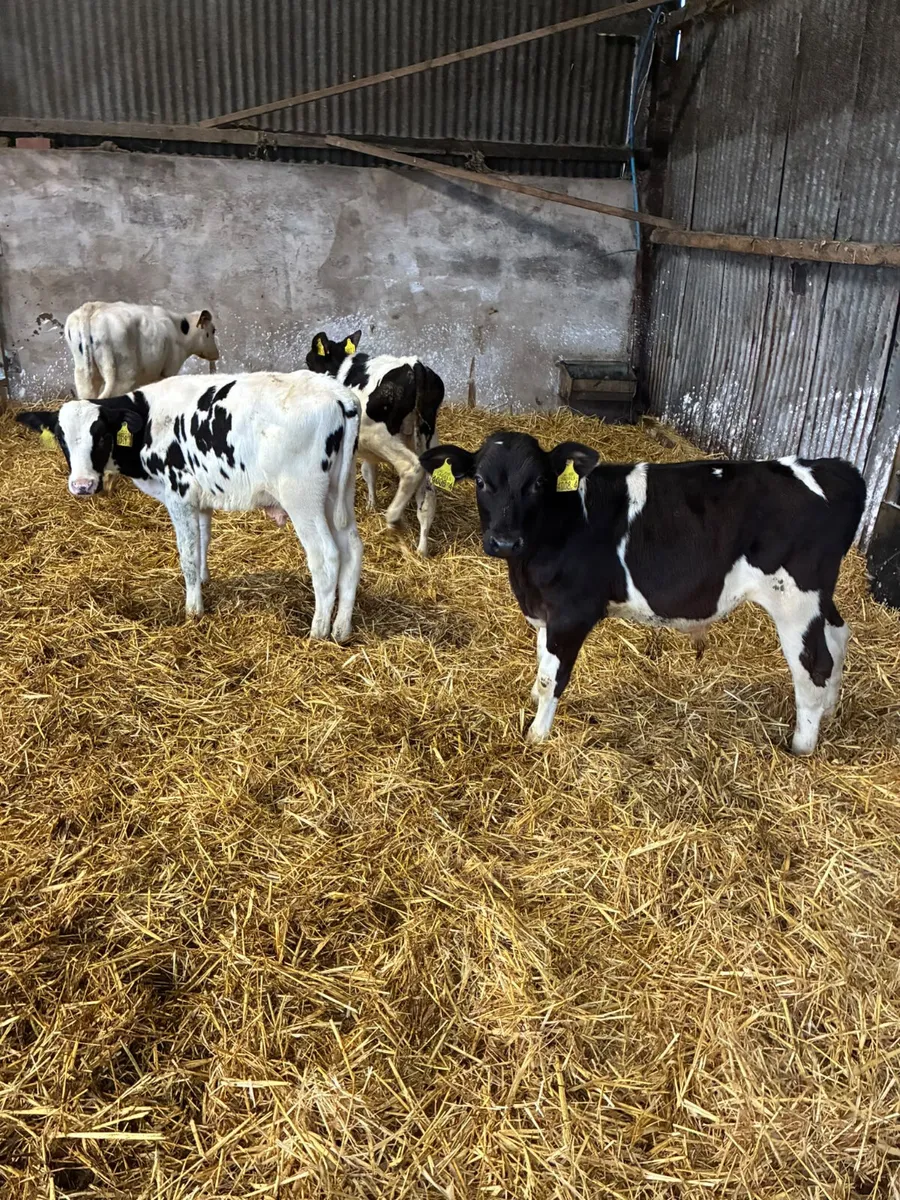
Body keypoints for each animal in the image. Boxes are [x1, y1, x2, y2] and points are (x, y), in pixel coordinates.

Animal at [16, 372, 363, 642]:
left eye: (101, 436)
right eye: (61, 439)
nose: (82, 485)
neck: (150, 420)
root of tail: (339, 394)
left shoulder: (179, 495)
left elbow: (188, 555)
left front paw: (193, 609)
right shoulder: (202, 497)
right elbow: (202, 541)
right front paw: (205, 582)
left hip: (302, 497)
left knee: (326, 556)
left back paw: (318, 631)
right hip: (338, 494)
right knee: (352, 551)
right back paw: (341, 629)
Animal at [65, 301, 220, 399]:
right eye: (213, 330)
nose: (217, 354)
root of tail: (91, 308)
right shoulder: (168, 370)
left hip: (83, 372)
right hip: (122, 375)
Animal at [305, 330, 444, 556]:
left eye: (309, 361)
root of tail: (413, 364)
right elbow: (370, 472)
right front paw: (372, 505)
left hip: (375, 435)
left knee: (410, 467)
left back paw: (393, 518)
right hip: (427, 438)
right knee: (427, 496)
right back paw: (421, 549)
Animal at [420, 432, 866, 754]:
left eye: (539, 483)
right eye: (481, 481)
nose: (504, 541)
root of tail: (833, 468)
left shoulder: (571, 613)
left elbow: (553, 677)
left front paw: (537, 735)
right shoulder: (545, 613)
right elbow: (542, 661)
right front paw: (532, 701)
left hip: (795, 598)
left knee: (815, 663)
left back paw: (802, 745)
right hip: (818, 597)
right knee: (838, 635)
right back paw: (830, 711)